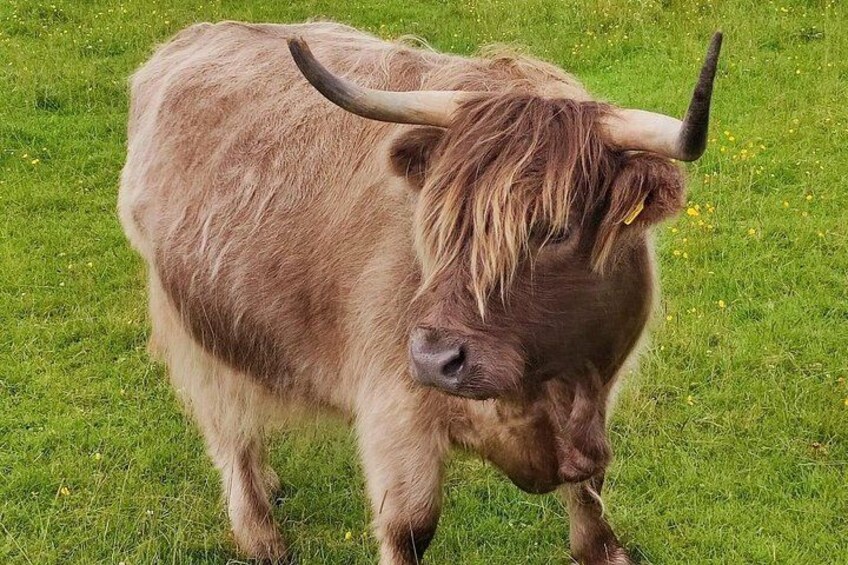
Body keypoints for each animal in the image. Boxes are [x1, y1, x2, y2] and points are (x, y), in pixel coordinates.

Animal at [118, 21, 721, 564]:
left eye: (556, 230)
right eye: (435, 221)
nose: (434, 358)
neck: (542, 384)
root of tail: (188, 39)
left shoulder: (597, 390)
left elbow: (589, 490)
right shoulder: (394, 409)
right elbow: (410, 528)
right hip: (193, 325)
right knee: (230, 430)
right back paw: (260, 534)